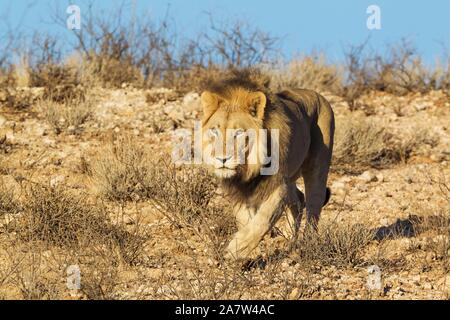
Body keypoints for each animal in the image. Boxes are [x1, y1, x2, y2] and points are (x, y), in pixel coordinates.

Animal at [200, 69, 334, 260]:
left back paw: (308, 245)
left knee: (313, 206)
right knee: (298, 200)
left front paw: (236, 249)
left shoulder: (278, 185)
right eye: (214, 131)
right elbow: (244, 219)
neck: (248, 168)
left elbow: (263, 220)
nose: (221, 159)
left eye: (238, 133)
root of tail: (319, 95)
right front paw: (248, 253)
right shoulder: (238, 190)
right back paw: (288, 241)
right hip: (290, 178)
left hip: (317, 167)